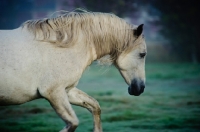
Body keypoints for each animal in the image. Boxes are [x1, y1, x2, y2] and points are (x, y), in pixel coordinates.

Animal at [0, 10, 147, 131]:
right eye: (142, 54)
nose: (140, 88)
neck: (61, 46)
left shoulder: (67, 91)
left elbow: (95, 106)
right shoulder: (53, 92)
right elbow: (73, 123)